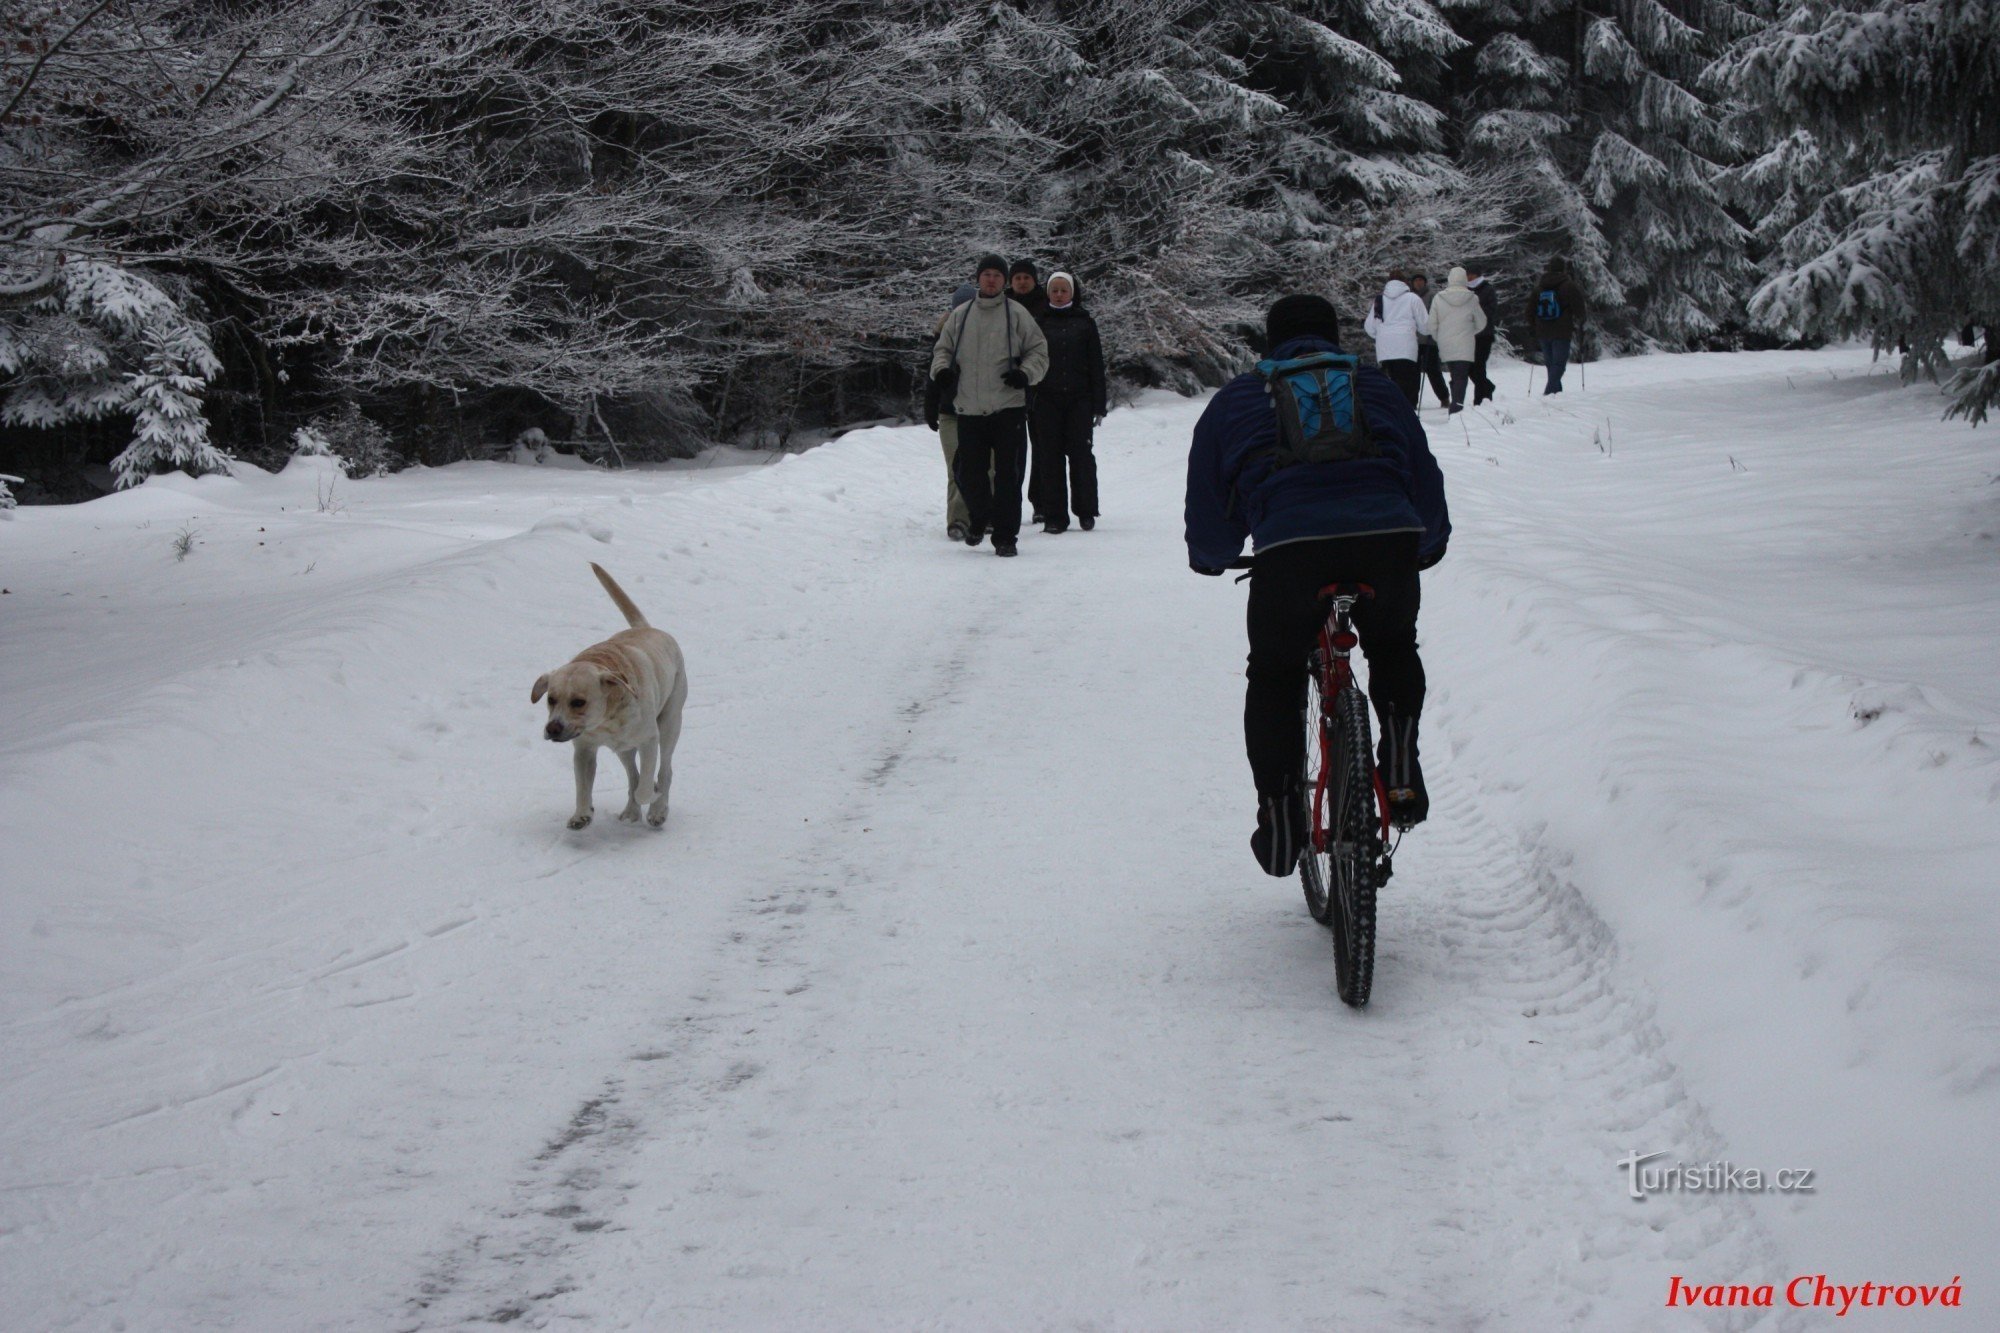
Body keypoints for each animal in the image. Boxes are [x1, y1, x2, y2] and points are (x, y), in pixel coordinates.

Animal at [532, 564, 688, 832]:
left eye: (578, 702)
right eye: (551, 699)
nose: (552, 728)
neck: (606, 720)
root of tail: (645, 627)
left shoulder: (649, 740)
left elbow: (645, 789)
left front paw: (654, 796)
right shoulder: (584, 749)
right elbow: (583, 787)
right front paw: (582, 814)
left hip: (670, 722)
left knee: (664, 771)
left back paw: (658, 810)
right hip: (624, 748)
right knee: (633, 775)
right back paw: (631, 812)